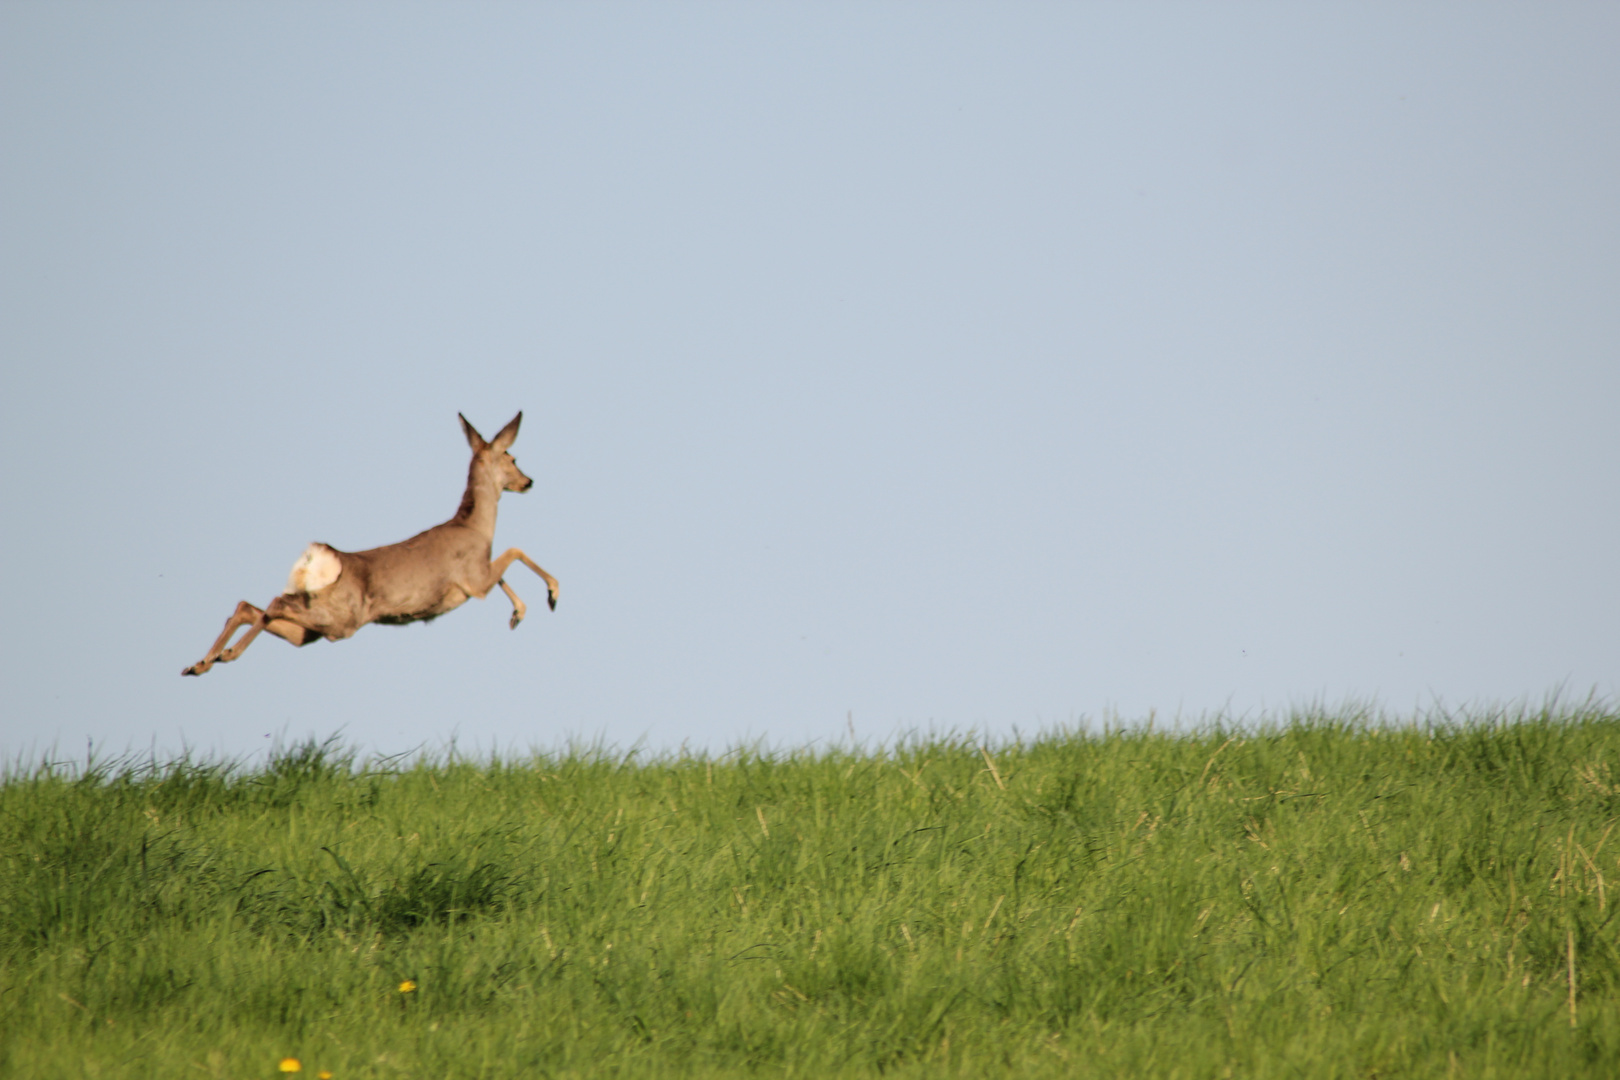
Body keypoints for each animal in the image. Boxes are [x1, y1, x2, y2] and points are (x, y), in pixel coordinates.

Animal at [184, 411, 557, 676]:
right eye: (512, 457)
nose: (528, 481)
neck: (475, 527)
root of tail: (321, 557)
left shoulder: (478, 576)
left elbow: (507, 567)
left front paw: (518, 613)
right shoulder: (474, 580)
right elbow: (514, 551)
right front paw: (551, 595)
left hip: (315, 624)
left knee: (249, 606)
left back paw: (200, 663)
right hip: (342, 620)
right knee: (273, 603)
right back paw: (224, 655)